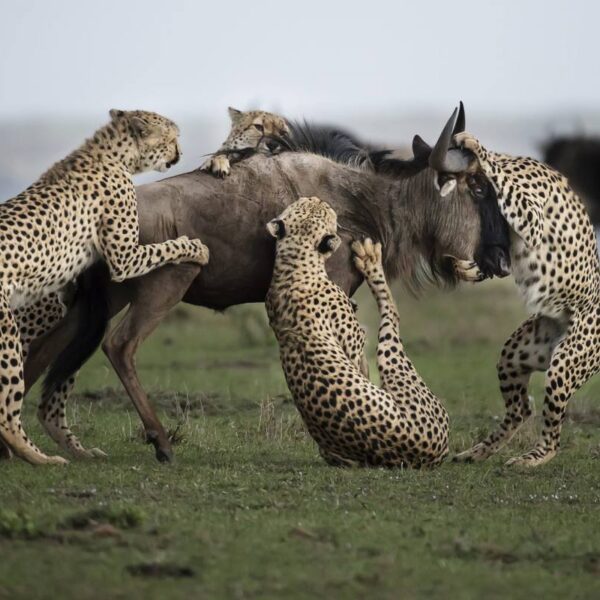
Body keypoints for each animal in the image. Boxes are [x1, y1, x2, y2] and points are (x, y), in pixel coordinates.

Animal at [0, 109, 209, 464]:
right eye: (171, 138)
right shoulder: (125, 259)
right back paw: (42, 458)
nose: (179, 153)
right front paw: (195, 247)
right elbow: (166, 247)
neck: (114, 153)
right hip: (8, 335)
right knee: (8, 411)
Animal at [268, 197, 450, 468]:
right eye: (325, 211)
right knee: (391, 313)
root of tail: (434, 454)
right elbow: (360, 362)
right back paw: (370, 259)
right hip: (394, 360)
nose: (317, 198)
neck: (295, 259)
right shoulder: (353, 342)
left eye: (305, 204)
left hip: (334, 452)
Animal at [450, 131, 600, 468]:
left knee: (552, 433)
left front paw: (474, 144)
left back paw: (532, 458)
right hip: (515, 355)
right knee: (522, 408)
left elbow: (501, 178)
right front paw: (469, 269)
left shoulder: (531, 219)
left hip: (564, 364)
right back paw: (477, 451)